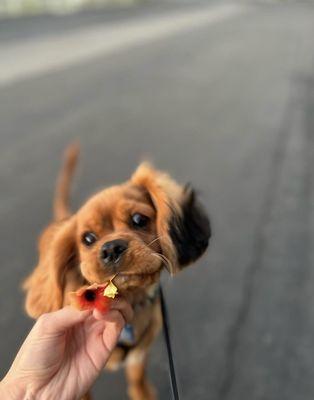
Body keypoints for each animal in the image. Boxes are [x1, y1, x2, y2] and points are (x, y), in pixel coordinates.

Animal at [23, 145, 211, 400]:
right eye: (87, 239)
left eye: (139, 219)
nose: (111, 248)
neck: (131, 299)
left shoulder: (138, 356)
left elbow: (138, 379)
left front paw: (143, 393)